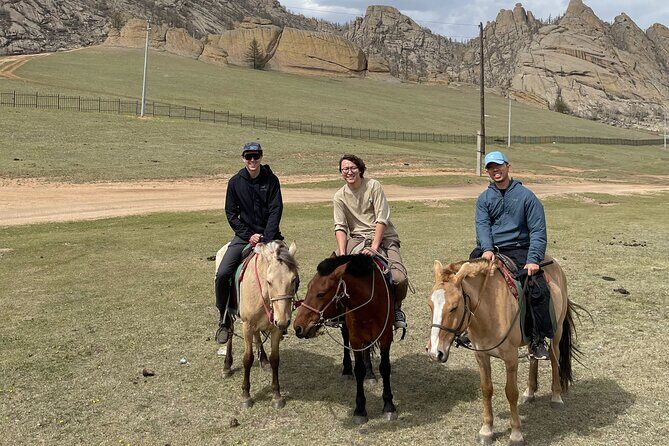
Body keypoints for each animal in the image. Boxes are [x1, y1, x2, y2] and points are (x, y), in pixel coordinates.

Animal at [215, 240, 299, 409]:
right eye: (269, 281)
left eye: (293, 280)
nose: (283, 322)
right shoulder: (247, 325)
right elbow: (247, 358)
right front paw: (246, 396)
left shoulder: (275, 328)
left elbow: (275, 359)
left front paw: (277, 396)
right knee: (230, 331)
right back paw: (227, 366)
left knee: (257, 336)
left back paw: (264, 360)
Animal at [293, 254, 397, 424]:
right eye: (308, 287)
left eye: (321, 293)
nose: (298, 327)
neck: (370, 302)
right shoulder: (355, 338)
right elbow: (359, 369)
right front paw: (360, 410)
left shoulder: (386, 336)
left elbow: (385, 367)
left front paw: (388, 406)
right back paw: (347, 370)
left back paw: (370, 374)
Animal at [427, 257, 581, 446]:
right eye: (430, 305)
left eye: (454, 307)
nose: (435, 352)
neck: (490, 310)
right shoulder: (481, 355)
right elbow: (486, 389)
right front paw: (486, 430)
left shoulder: (511, 358)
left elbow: (511, 392)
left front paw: (516, 434)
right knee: (533, 357)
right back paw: (530, 392)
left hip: (557, 331)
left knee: (554, 359)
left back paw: (556, 397)